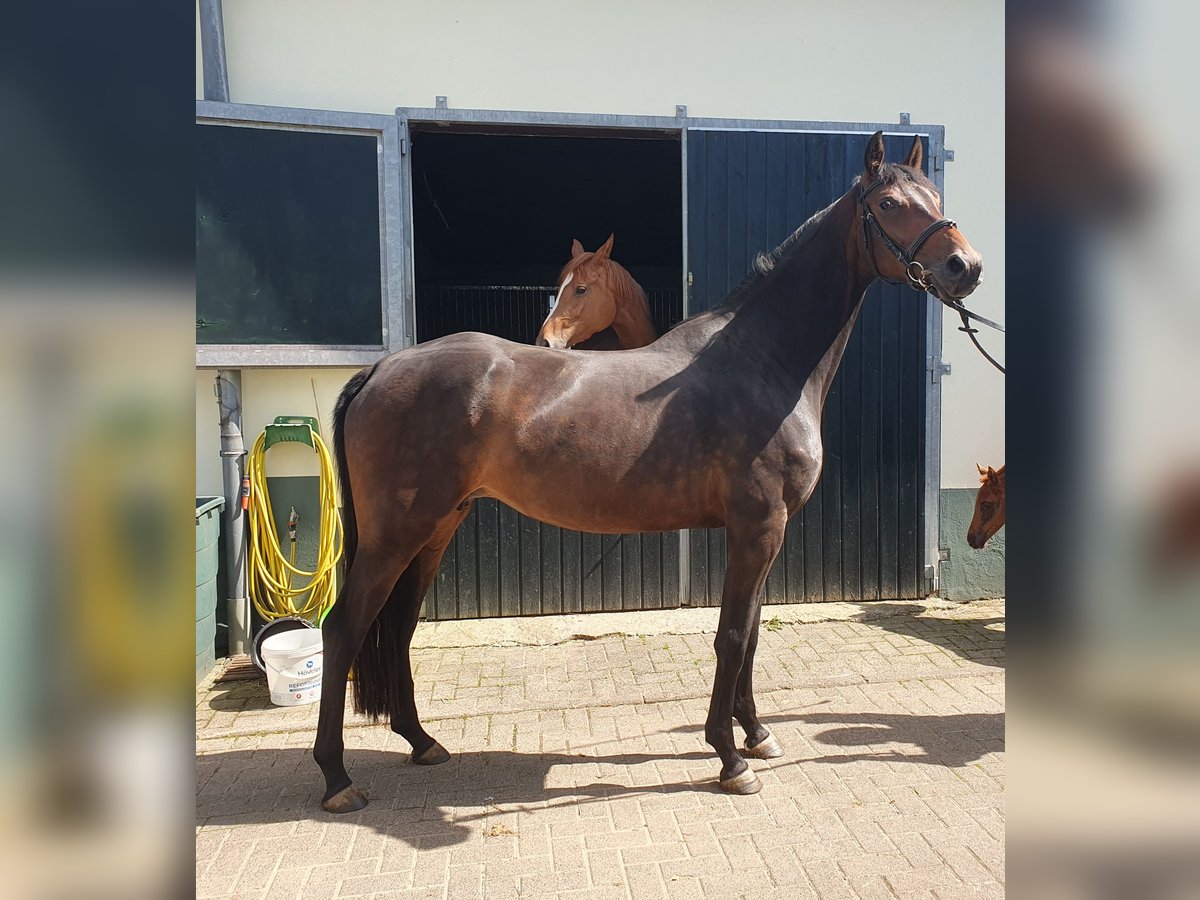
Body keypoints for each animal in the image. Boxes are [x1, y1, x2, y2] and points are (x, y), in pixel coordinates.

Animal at [316, 133, 984, 816]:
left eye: (934, 195)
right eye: (889, 203)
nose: (967, 266)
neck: (761, 361)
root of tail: (382, 369)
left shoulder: (766, 533)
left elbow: (752, 635)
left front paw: (758, 733)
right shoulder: (757, 527)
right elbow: (732, 636)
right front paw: (730, 758)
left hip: (436, 527)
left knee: (396, 625)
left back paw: (421, 741)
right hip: (396, 533)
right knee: (344, 627)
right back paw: (338, 778)